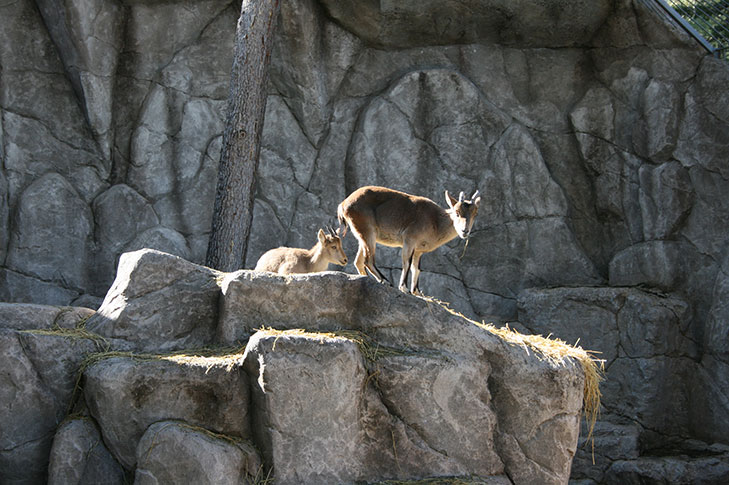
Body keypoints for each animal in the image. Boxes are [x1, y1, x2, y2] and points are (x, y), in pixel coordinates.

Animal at [338, 184, 480, 292]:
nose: (464, 231)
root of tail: (344, 204)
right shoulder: (410, 240)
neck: (435, 221)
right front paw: (404, 288)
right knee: (368, 260)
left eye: (475, 214)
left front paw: (417, 292)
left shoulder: (419, 250)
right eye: (457, 213)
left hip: (362, 235)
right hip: (368, 231)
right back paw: (385, 281)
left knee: (358, 261)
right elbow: (407, 262)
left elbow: (417, 268)